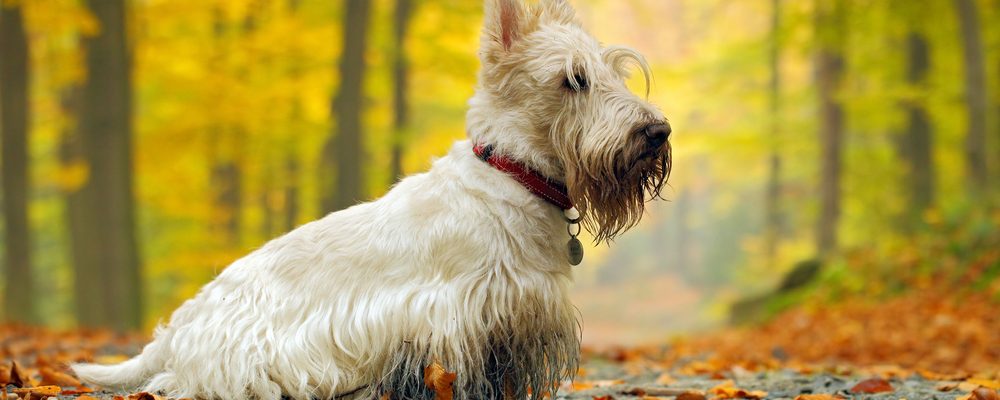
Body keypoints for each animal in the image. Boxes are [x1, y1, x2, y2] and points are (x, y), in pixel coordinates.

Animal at [74, 0, 668, 398]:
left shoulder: (518, 320)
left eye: (614, 72)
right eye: (573, 80)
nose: (657, 132)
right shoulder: (457, 319)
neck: (514, 175)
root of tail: (178, 329)